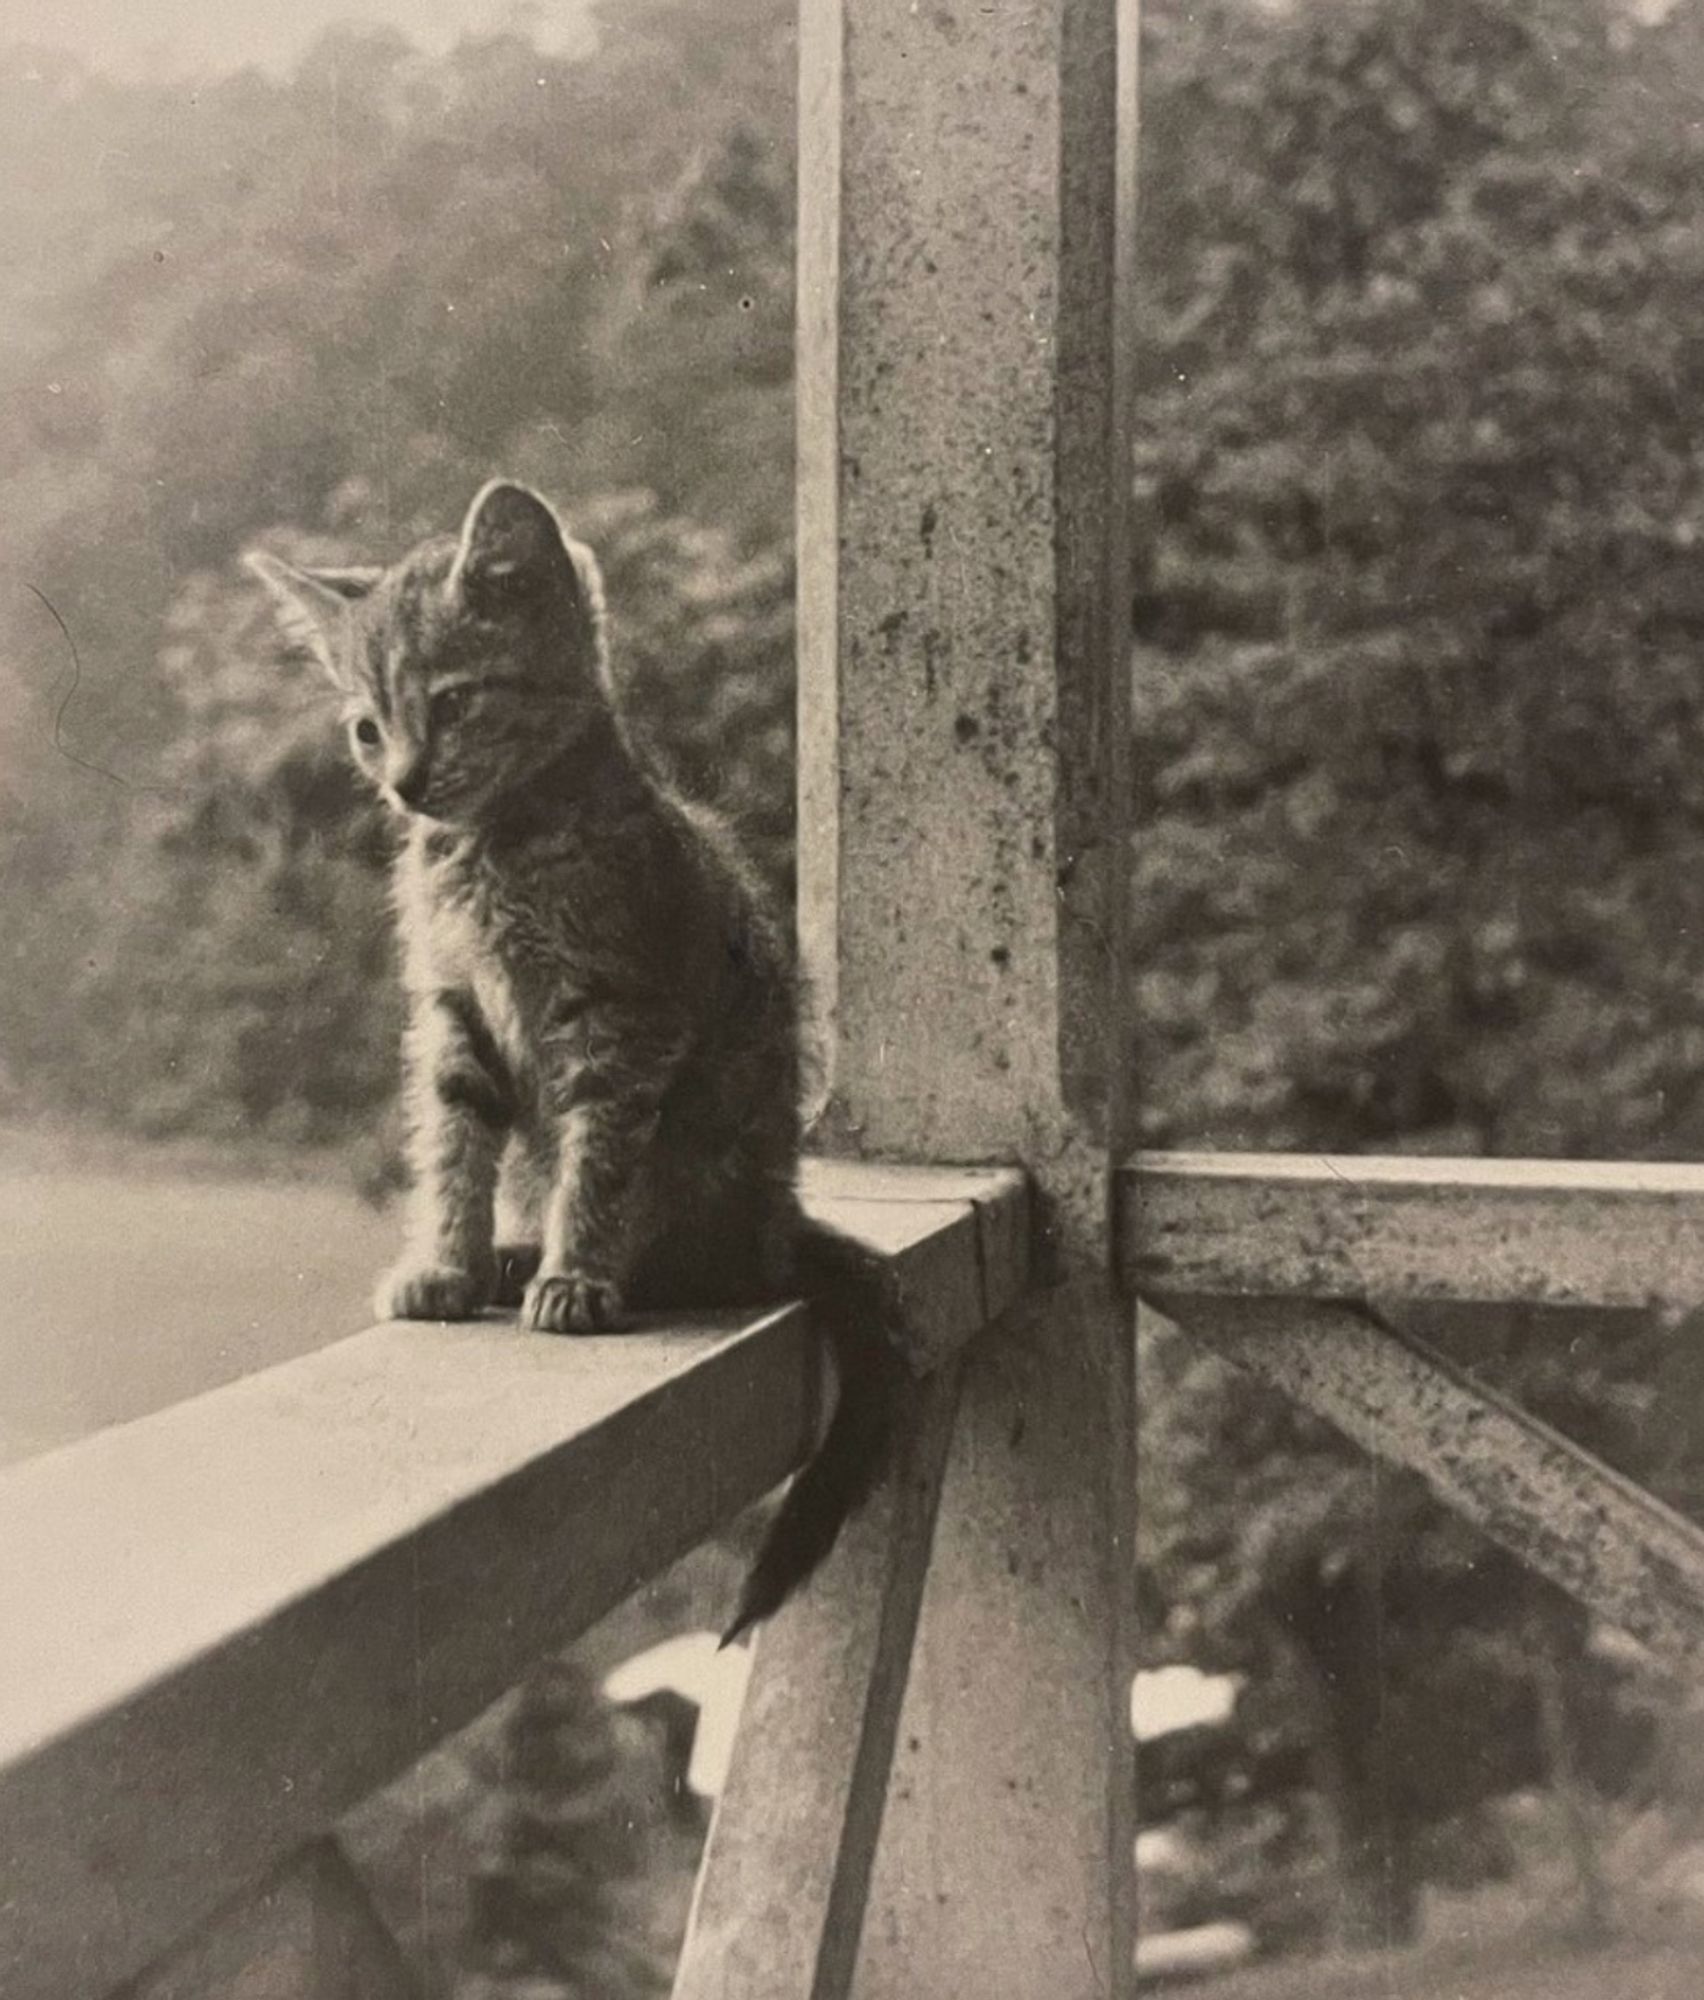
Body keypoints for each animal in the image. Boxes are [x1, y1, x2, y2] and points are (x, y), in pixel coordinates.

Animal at [250, 484, 904, 1640]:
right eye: (366, 725)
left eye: (455, 701)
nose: (404, 782)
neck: (493, 849)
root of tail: (780, 1225)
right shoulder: (453, 1012)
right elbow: (456, 1145)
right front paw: (451, 1260)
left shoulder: (619, 1018)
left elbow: (595, 1162)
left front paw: (576, 1273)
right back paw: (507, 1254)